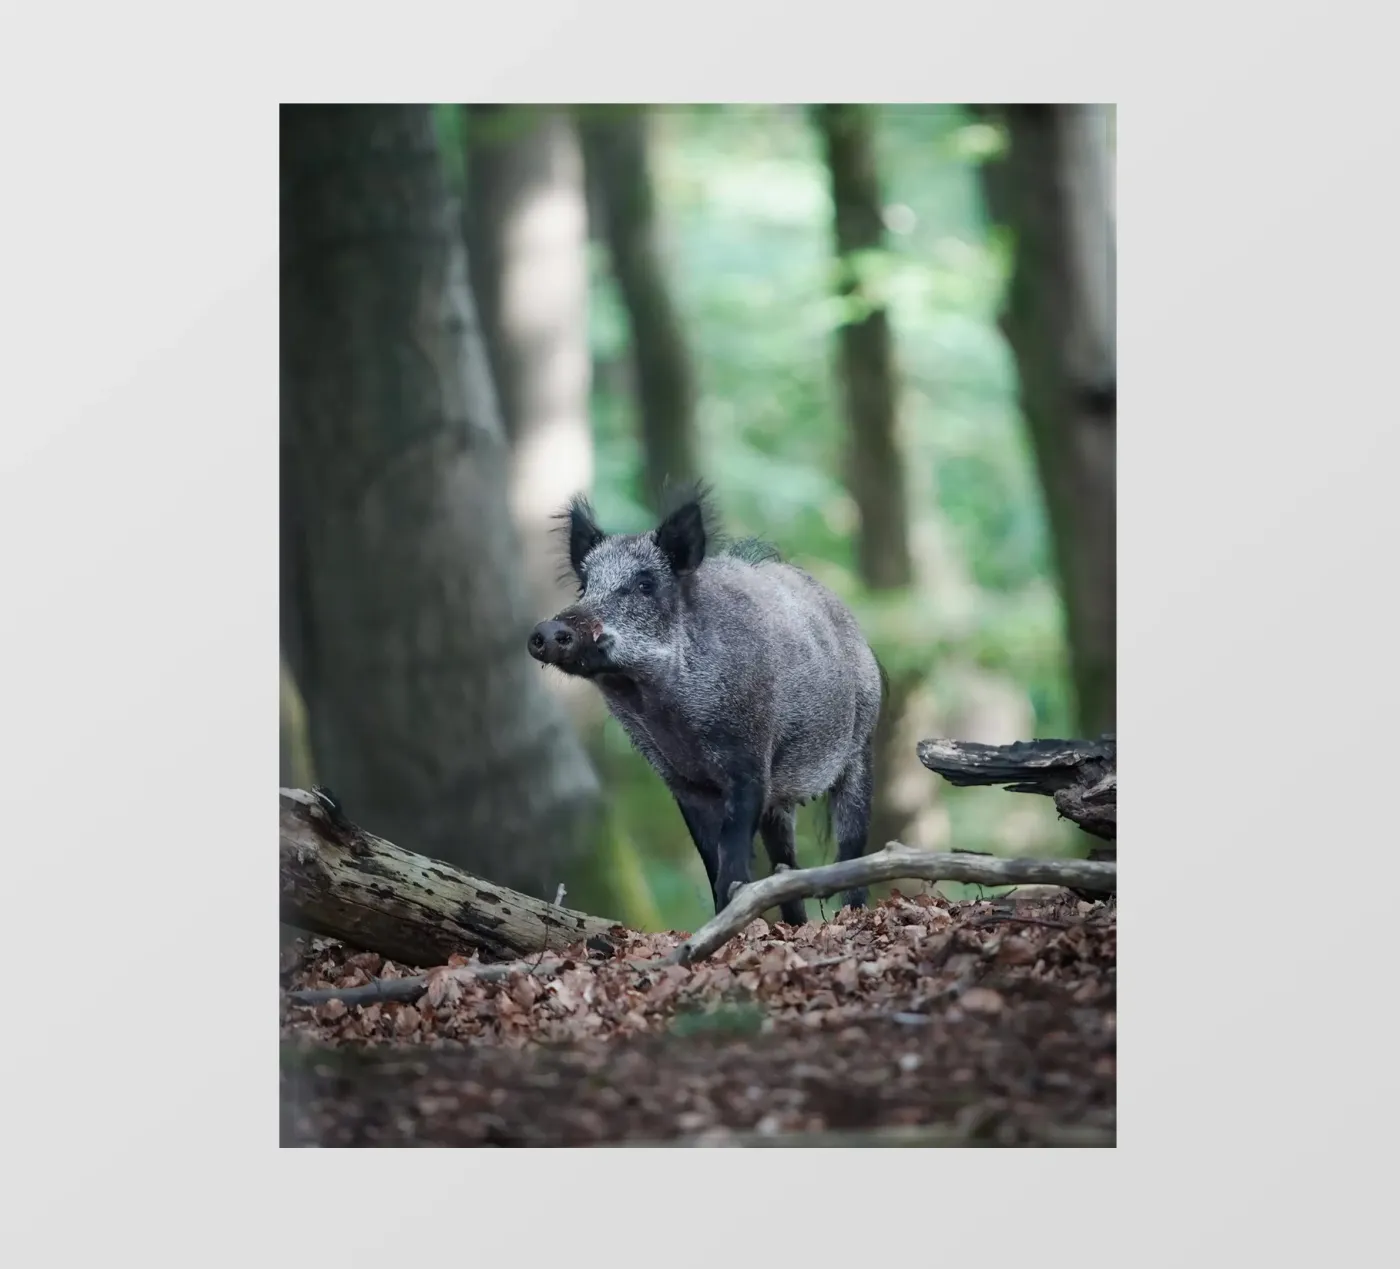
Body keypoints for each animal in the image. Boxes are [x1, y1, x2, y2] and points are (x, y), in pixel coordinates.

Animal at [527, 486, 884, 924]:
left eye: (645, 584)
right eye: (584, 586)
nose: (548, 629)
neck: (666, 710)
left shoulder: (750, 760)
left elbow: (732, 856)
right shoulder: (682, 780)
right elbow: (710, 860)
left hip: (861, 746)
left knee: (852, 845)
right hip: (782, 800)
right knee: (786, 862)